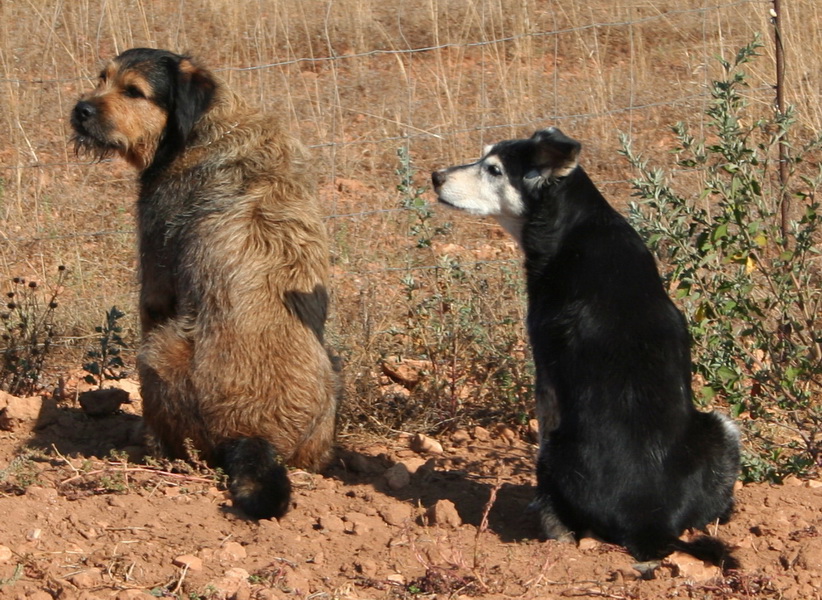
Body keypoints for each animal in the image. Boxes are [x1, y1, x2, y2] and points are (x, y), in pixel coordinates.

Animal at [71, 48, 340, 520]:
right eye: (102, 78)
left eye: (134, 91)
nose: (80, 110)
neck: (206, 127)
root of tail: (254, 436)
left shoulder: (155, 277)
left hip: (157, 353)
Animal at [432, 128, 741, 566]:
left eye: (493, 170)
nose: (435, 177)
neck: (575, 225)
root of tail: (651, 526)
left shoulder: (545, 378)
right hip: (720, 430)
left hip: (557, 458)